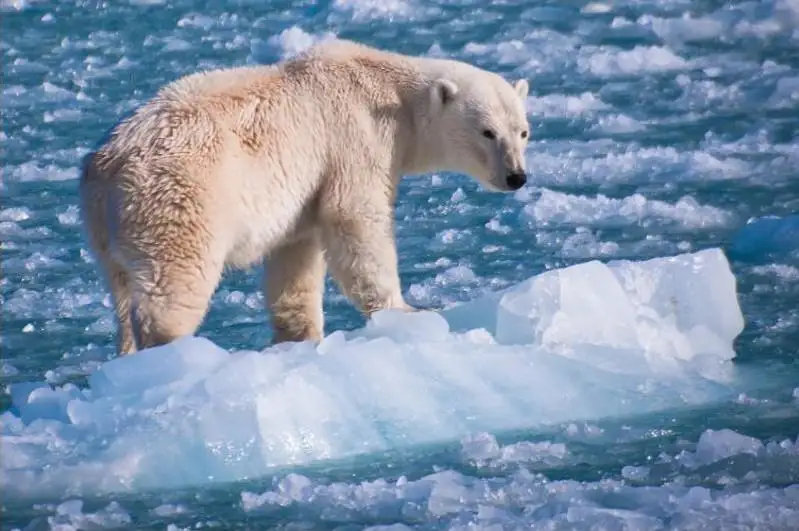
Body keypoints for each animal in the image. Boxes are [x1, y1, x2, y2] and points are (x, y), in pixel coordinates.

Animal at [79, 39, 531, 356]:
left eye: (523, 131)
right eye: (488, 132)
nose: (517, 176)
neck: (389, 92)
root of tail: (108, 164)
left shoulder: (304, 193)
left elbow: (296, 258)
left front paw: (300, 336)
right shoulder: (352, 139)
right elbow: (356, 221)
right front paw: (410, 311)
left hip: (104, 226)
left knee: (121, 290)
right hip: (181, 196)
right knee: (173, 281)